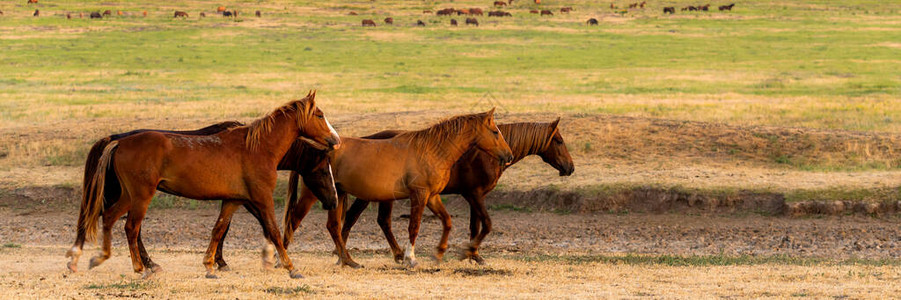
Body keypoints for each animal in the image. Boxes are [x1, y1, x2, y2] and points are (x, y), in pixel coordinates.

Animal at [63, 91, 338, 278]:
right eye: (320, 115)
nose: (334, 140)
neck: (258, 147)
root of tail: (119, 141)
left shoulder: (233, 200)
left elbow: (219, 229)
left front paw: (210, 265)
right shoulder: (261, 198)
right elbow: (273, 229)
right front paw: (290, 267)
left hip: (128, 195)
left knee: (109, 217)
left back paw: (100, 258)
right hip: (141, 195)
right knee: (130, 227)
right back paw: (141, 267)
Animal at [340, 118, 576, 264]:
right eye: (559, 141)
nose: (570, 168)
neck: (487, 154)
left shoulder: (474, 196)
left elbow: (475, 225)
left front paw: (474, 255)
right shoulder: (474, 194)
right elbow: (487, 224)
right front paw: (468, 252)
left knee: (371, 219)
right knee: (367, 219)